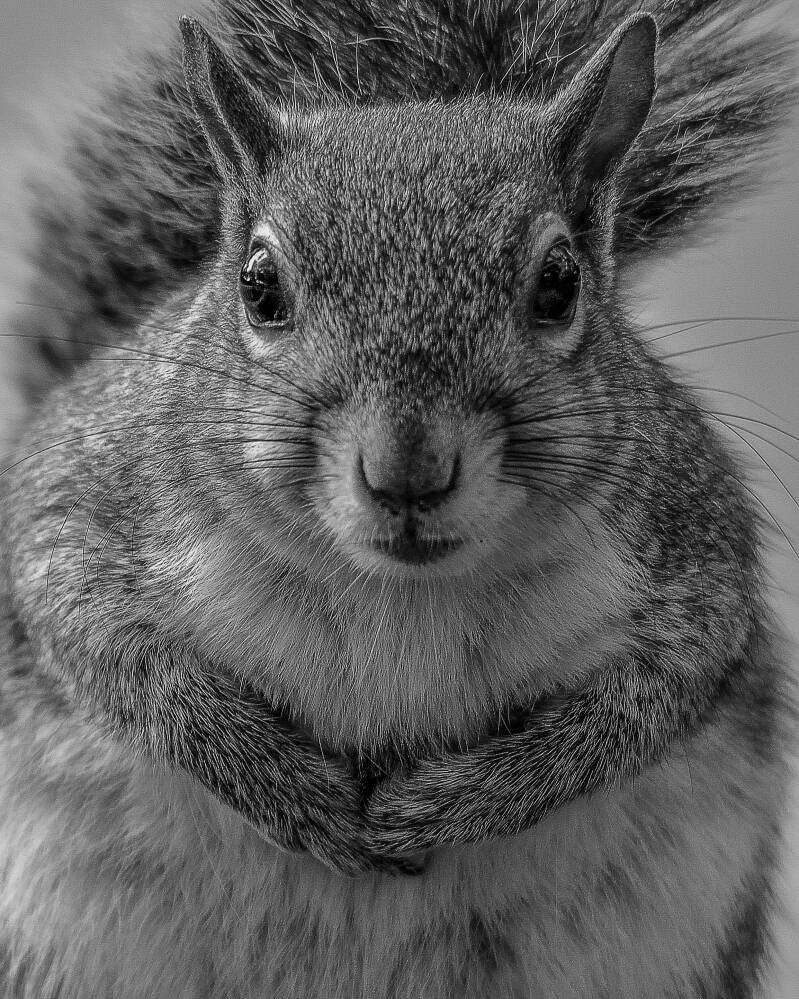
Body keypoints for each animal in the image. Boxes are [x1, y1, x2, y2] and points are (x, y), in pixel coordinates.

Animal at [0, 0, 797, 996]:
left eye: (560, 283)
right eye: (258, 286)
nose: (406, 470)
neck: (398, 592)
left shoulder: (692, 555)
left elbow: (643, 705)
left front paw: (465, 799)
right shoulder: (80, 498)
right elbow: (108, 650)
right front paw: (283, 786)